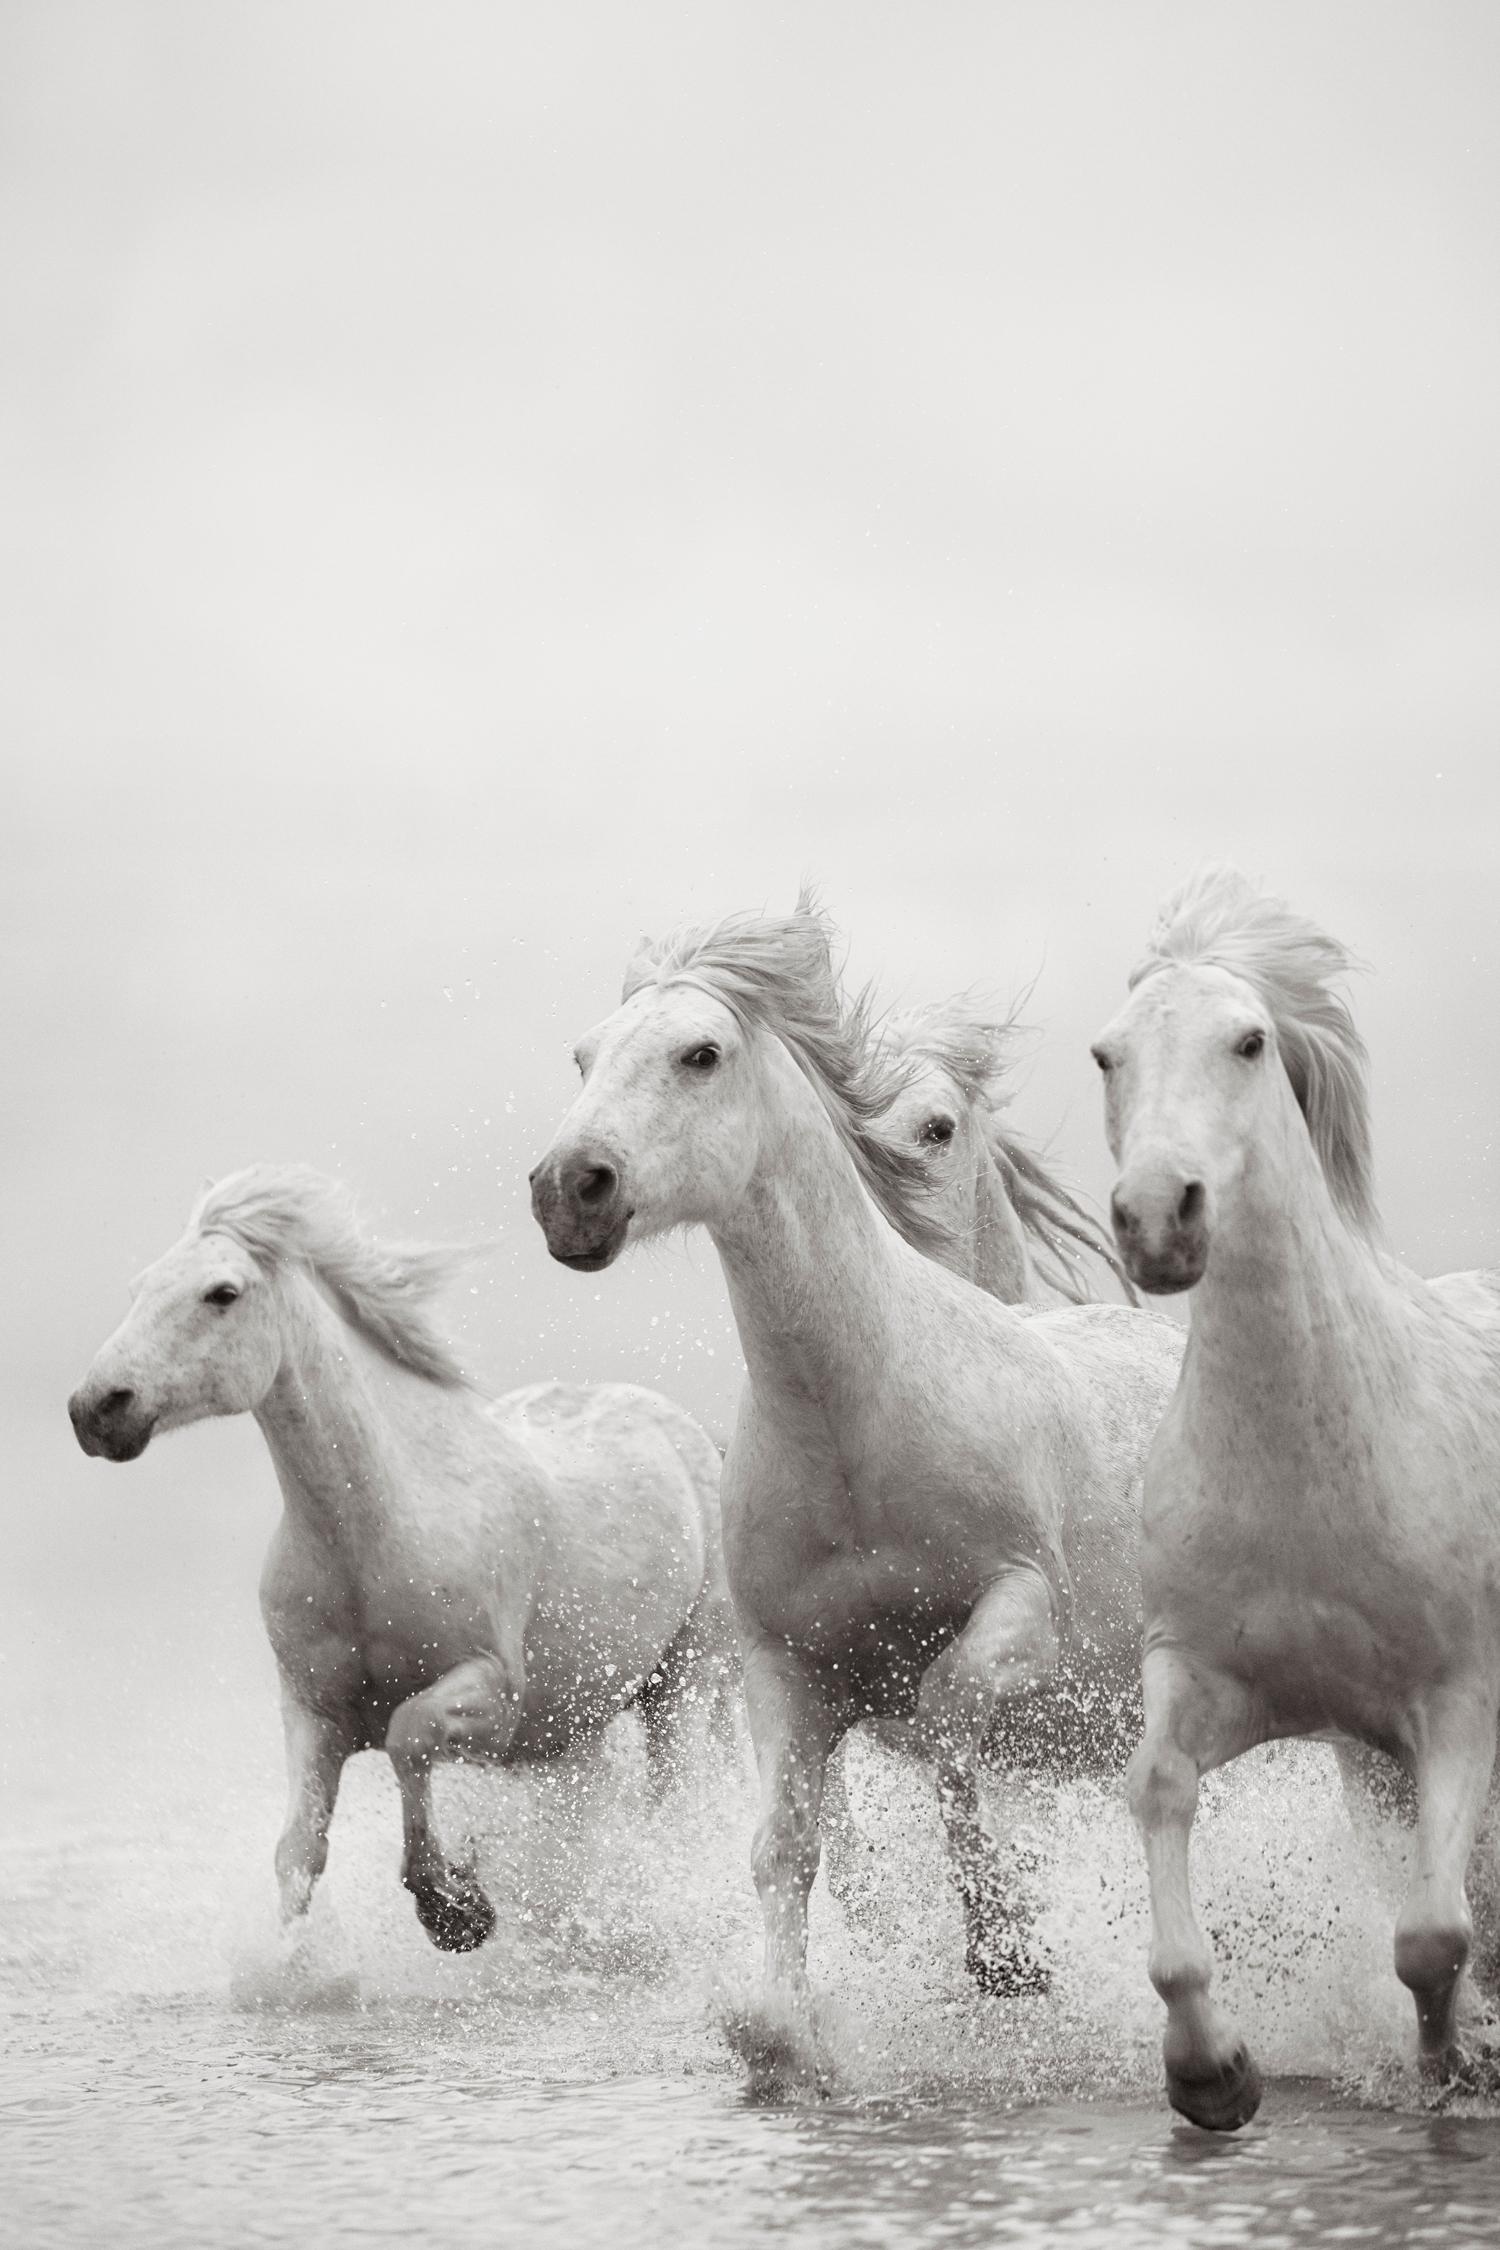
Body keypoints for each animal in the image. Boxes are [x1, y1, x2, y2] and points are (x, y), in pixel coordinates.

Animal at [70, 1179, 733, 1953]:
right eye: (140, 1287)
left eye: (222, 1292)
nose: (96, 1409)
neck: (375, 1535)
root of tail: (688, 1434)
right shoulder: (313, 1710)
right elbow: (298, 1850)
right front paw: (297, 1961)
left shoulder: (493, 1693)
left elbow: (406, 1736)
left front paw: (455, 1910)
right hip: (575, 1727)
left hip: (680, 1685)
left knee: (669, 1807)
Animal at [530, 895, 1187, 2043]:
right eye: (583, 1055)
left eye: (700, 1053)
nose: (569, 1187)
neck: (858, 1429)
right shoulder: (784, 1671)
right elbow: (788, 1849)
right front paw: (784, 2030)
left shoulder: (1025, 1609)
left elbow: (950, 1711)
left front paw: (1007, 1951)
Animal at [1092, 873, 1500, 2124]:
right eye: (1107, 1053)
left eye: (1249, 1041)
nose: (1158, 1217)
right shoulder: (1218, 1682)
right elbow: (1159, 1790)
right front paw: (1211, 2071)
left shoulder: (1457, 1702)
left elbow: (1430, 1936)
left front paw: (1451, 2065)